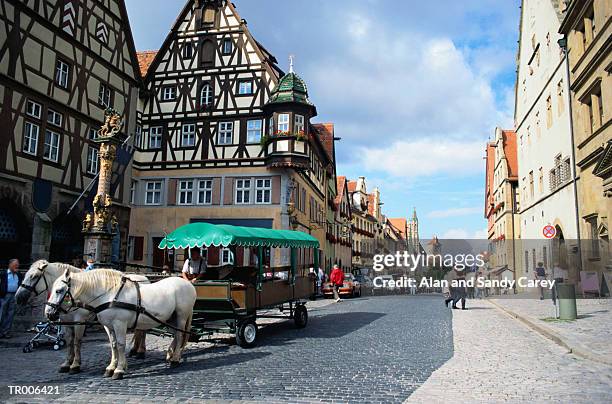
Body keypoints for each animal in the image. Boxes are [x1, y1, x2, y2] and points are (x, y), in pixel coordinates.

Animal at [15, 260, 149, 374]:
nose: (18, 297)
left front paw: (75, 364)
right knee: (139, 331)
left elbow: (77, 341)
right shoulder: (66, 322)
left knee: (142, 332)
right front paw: (67, 363)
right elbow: (70, 342)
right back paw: (134, 350)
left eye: (33, 276)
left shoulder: (79, 321)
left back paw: (140, 352)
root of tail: (144, 278)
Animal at [46, 268, 195, 378]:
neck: (110, 295)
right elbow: (113, 345)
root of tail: (188, 284)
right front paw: (111, 367)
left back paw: (175, 359)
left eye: (59, 290)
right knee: (176, 335)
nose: (48, 313)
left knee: (180, 336)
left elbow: (120, 345)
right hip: (171, 318)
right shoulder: (108, 326)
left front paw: (119, 370)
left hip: (181, 317)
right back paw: (171, 355)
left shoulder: (119, 324)